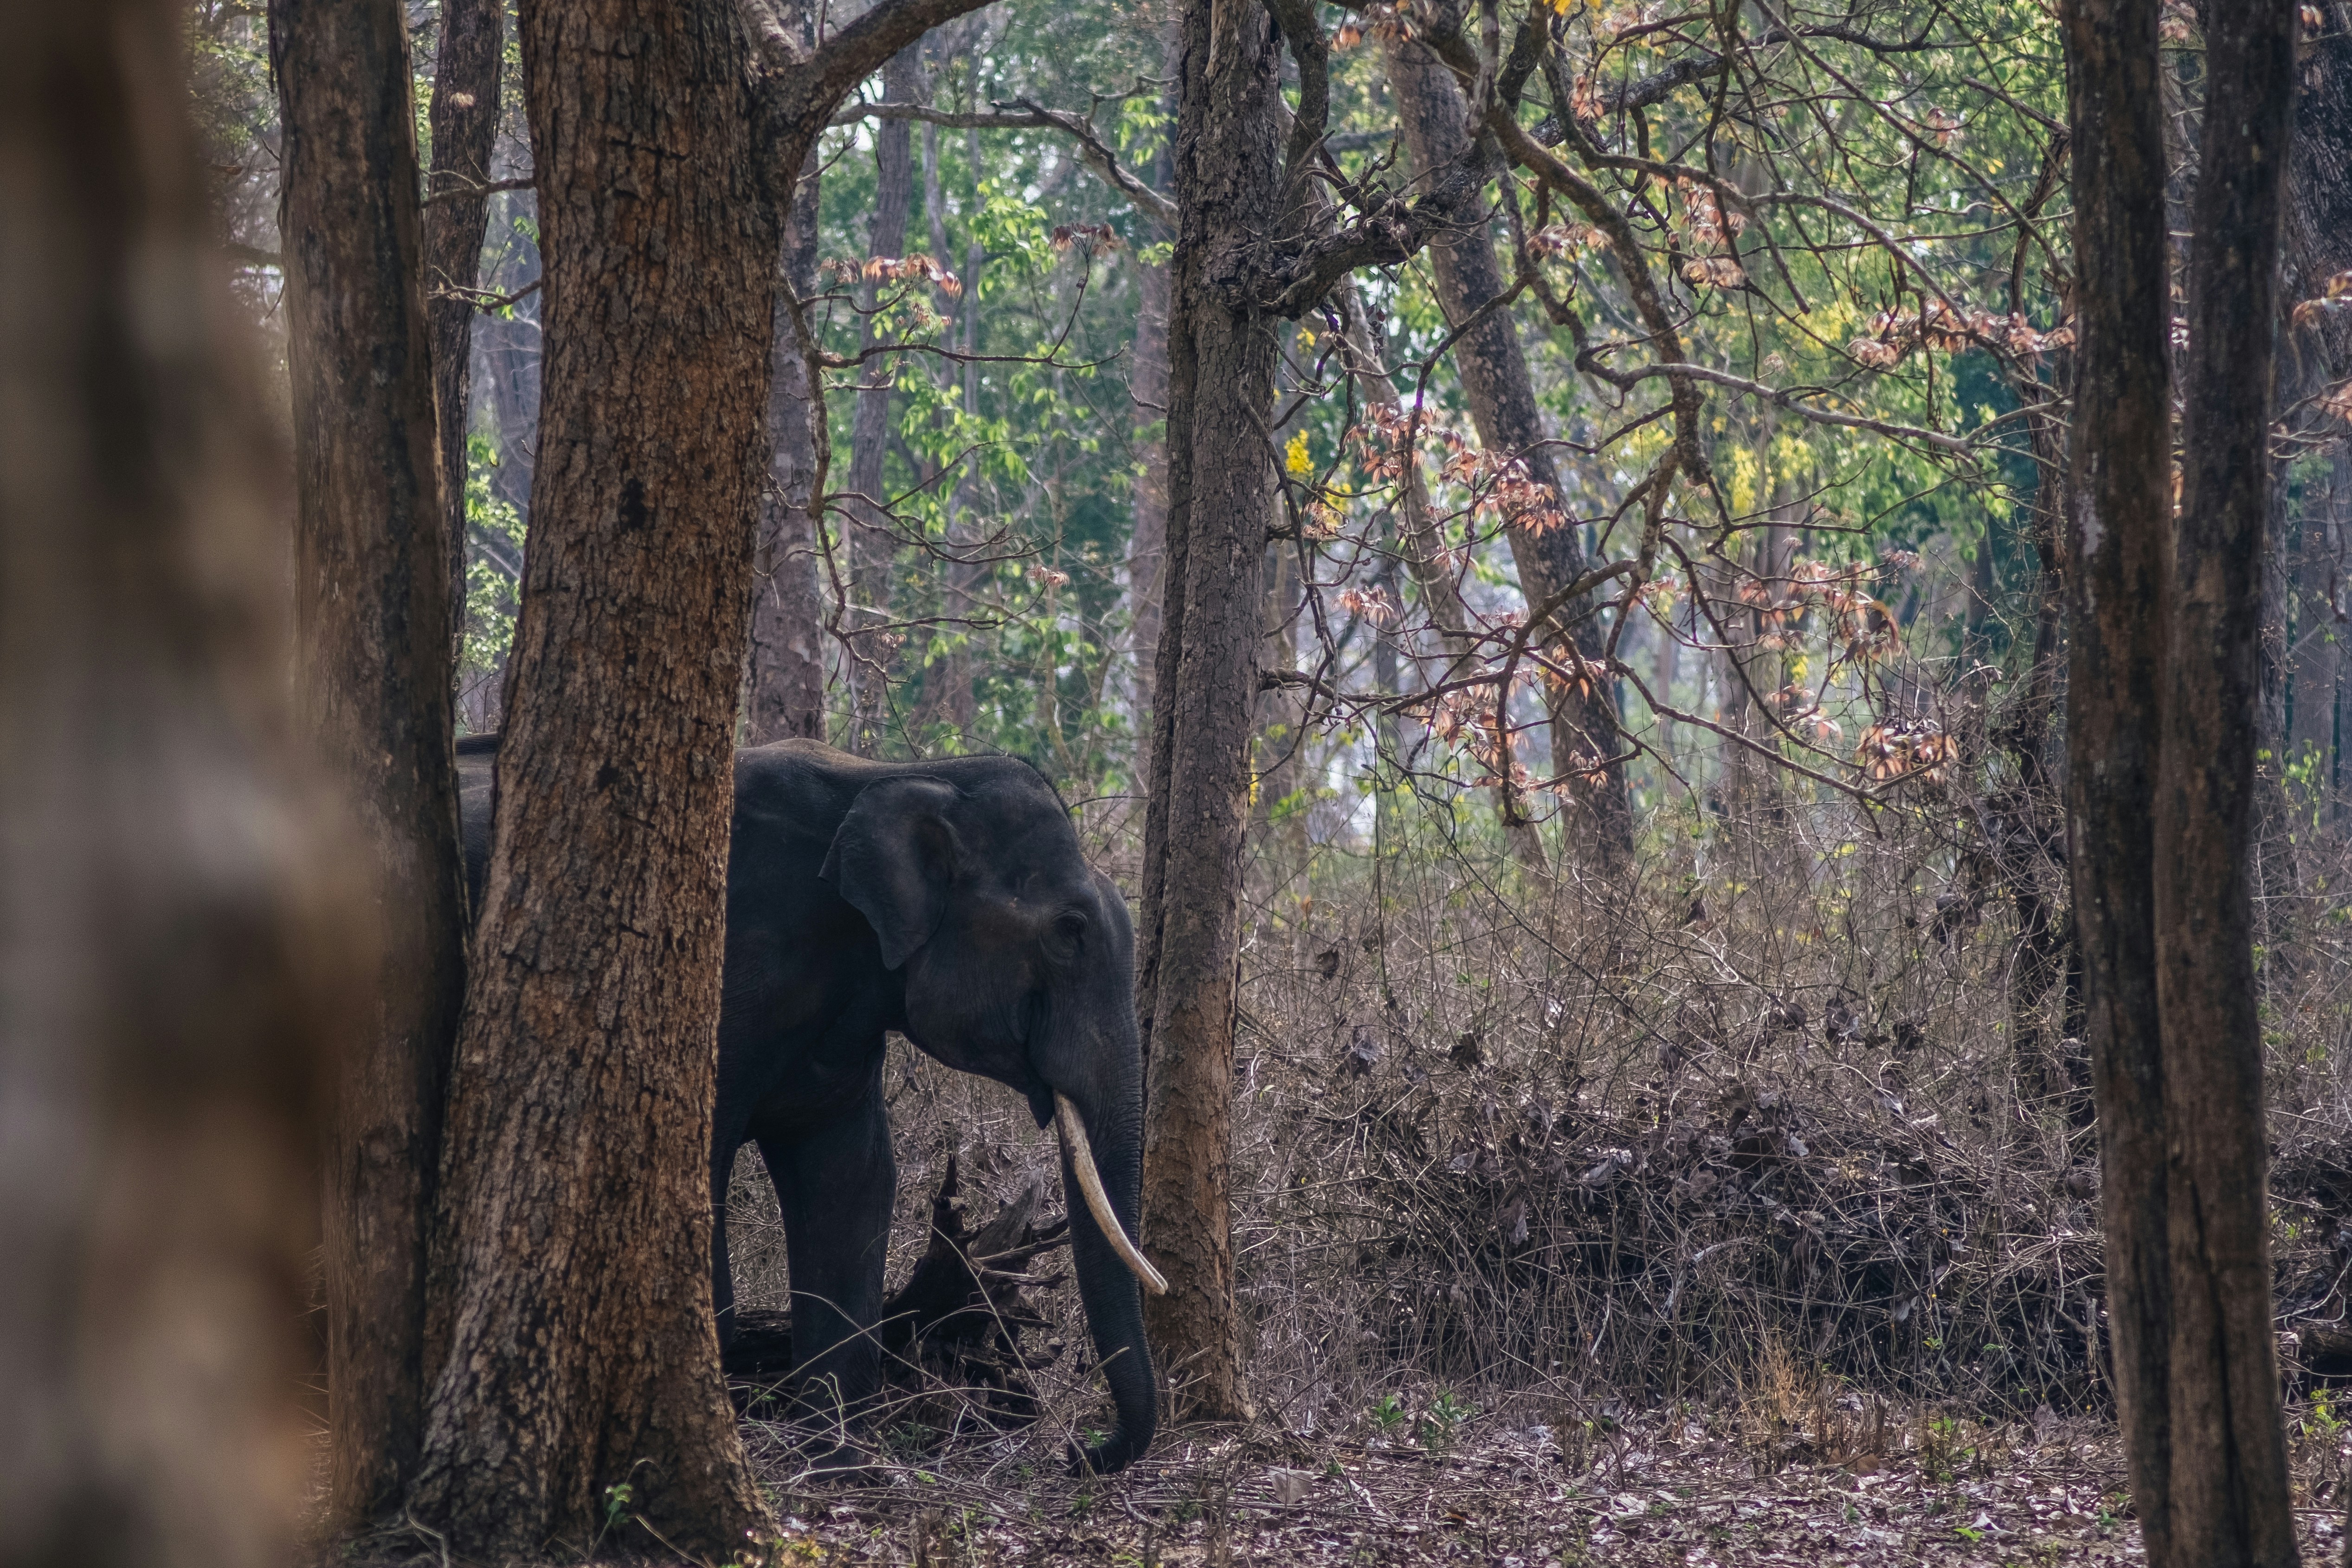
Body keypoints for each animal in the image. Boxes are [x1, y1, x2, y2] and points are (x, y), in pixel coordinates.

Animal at [455, 734, 1160, 1475]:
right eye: (1069, 930)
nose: (1077, 1453)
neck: (901, 777)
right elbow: (704, 1162)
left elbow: (853, 1177)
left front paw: (833, 1454)